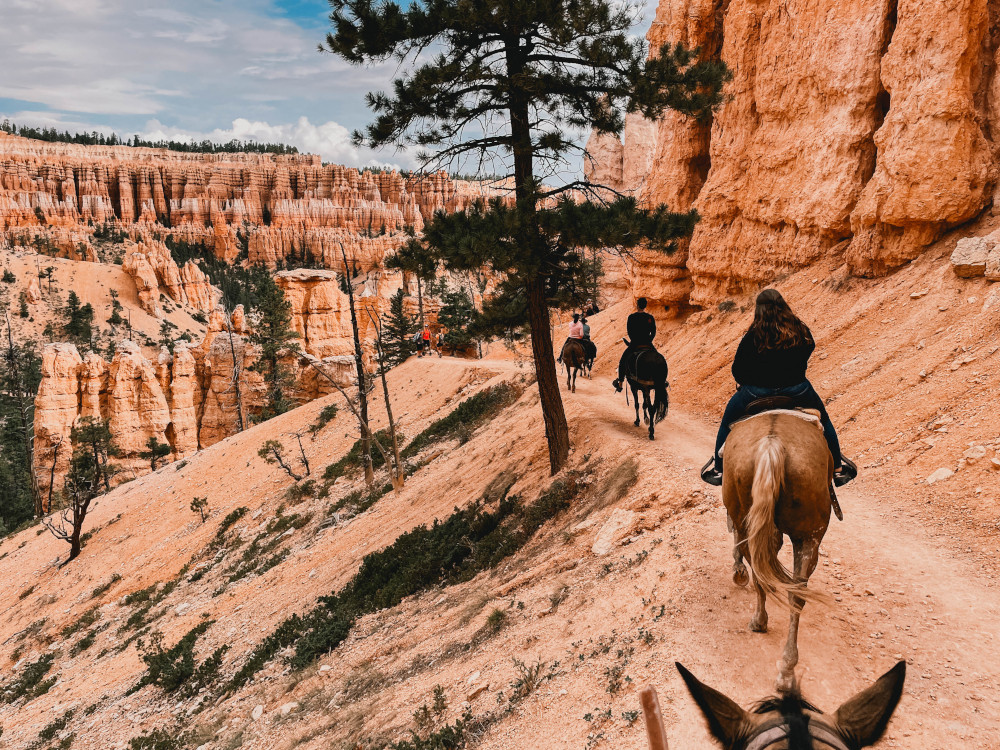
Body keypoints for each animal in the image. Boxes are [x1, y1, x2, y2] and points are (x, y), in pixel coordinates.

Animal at [724, 412, 832, 692]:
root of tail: (772, 444)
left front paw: (738, 571)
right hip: (808, 536)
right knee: (797, 594)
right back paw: (786, 670)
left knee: (761, 574)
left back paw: (759, 621)